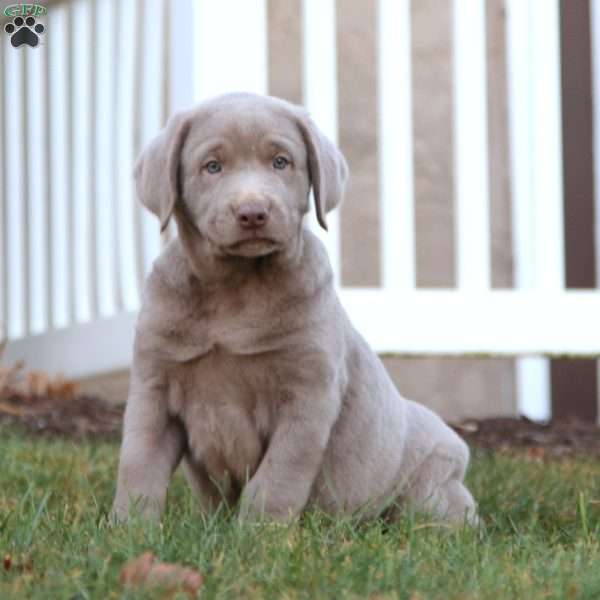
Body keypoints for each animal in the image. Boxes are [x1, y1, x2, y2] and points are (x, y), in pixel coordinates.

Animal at [113, 90, 478, 524]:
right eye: (212, 166)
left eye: (281, 162)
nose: (253, 212)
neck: (235, 289)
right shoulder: (154, 385)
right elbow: (139, 462)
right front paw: (131, 527)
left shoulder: (309, 394)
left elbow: (279, 474)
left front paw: (260, 530)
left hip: (431, 485)